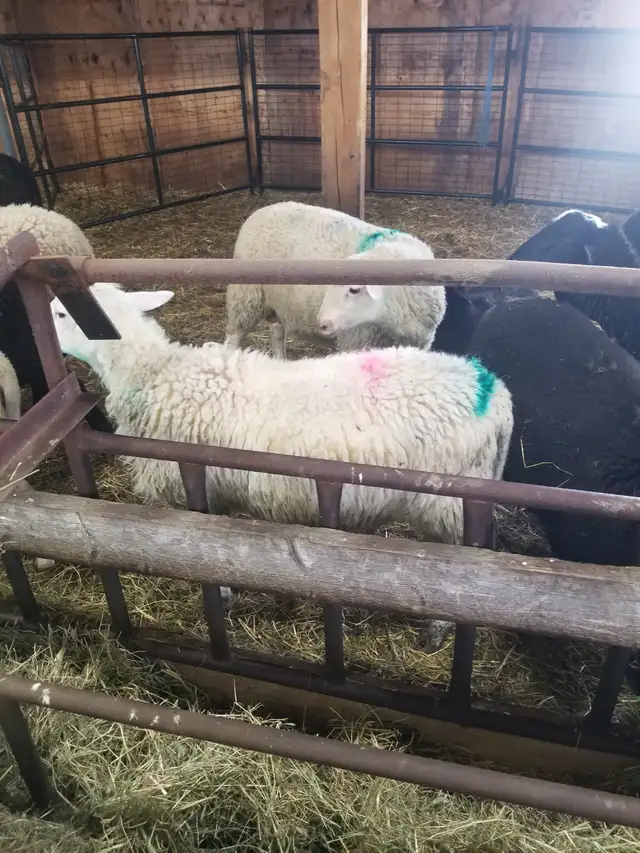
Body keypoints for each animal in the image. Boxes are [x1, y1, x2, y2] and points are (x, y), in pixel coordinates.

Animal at [52, 281, 514, 649]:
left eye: (60, 312)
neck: (155, 376)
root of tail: (494, 391)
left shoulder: (195, 487)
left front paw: (220, 599)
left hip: (450, 504)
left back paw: (436, 631)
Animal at [224, 201, 446, 358]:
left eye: (354, 289)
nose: (322, 324)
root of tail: (260, 211)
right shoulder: (356, 341)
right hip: (245, 297)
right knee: (233, 337)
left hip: (276, 300)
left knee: (277, 333)